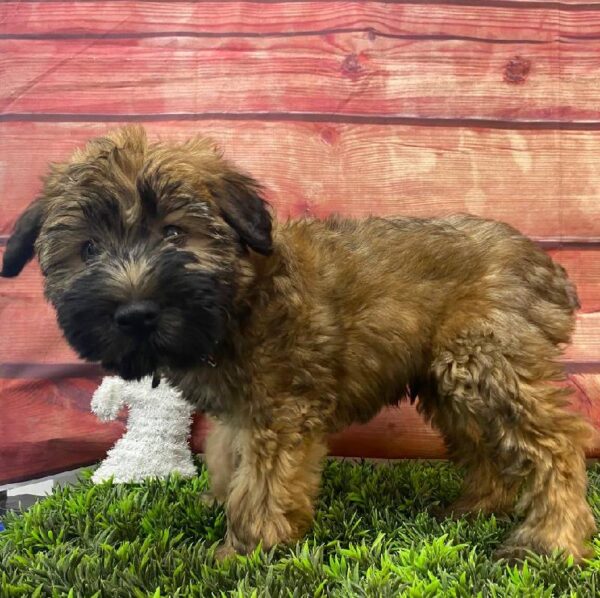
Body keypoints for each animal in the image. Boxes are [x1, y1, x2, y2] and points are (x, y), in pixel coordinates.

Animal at [2, 126, 596, 564]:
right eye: (87, 249)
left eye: (174, 233)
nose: (134, 313)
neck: (238, 298)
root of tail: (547, 267)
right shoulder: (241, 413)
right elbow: (227, 458)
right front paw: (217, 503)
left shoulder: (280, 410)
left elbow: (262, 483)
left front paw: (243, 550)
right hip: (451, 381)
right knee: (489, 447)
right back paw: (474, 508)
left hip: (487, 365)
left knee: (555, 447)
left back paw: (549, 542)